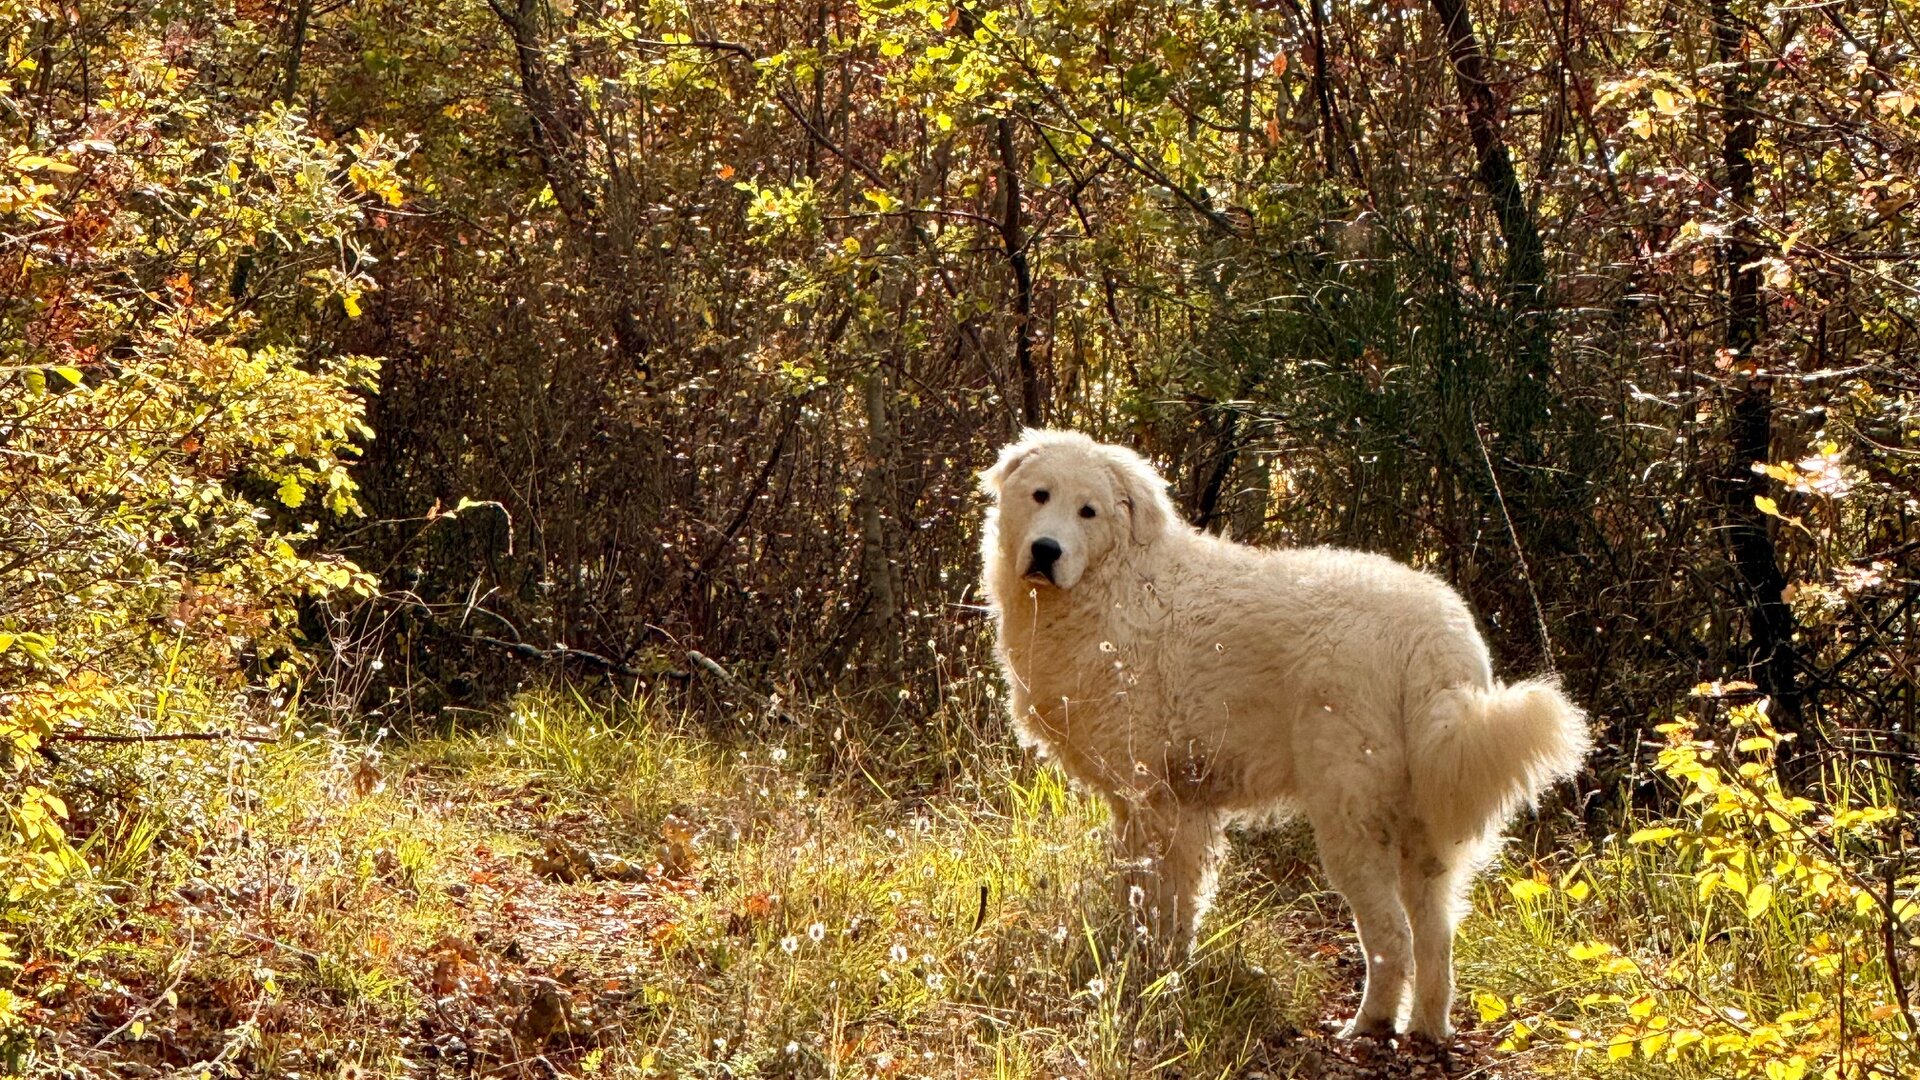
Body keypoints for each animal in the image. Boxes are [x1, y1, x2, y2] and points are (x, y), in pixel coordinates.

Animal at [975, 426, 1589, 1037]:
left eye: (1089, 511)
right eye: (1040, 495)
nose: (1046, 551)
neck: (1117, 583)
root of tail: (1435, 637)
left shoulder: (1159, 801)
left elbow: (1161, 902)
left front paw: (1153, 973)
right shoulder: (1151, 804)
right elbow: (1148, 896)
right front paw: (1150, 966)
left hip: (1351, 817)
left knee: (1392, 938)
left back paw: (1367, 1027)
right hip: (1427, 831)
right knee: (1435, 937)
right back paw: (1426, 1030)